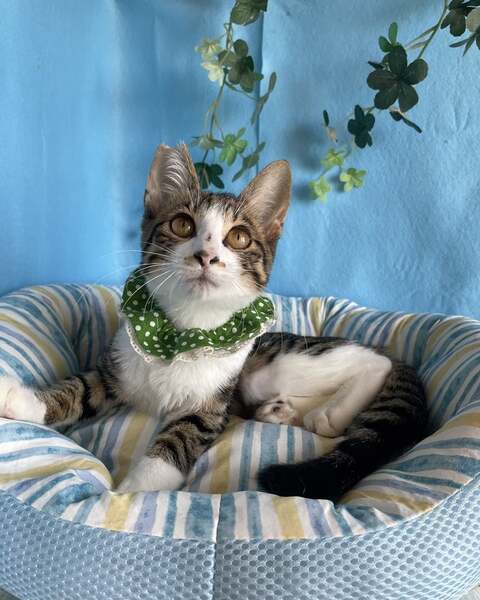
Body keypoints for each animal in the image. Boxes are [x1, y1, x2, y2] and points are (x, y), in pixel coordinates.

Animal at [0, 143, 427, 500]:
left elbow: (177, 441)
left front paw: (131, 494)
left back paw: (330, 411)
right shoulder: (115, 367)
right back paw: (282, 411)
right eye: (182, 225)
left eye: (239, 238)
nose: (206, 256)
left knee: (373, 363)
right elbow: (81, 387)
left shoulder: (210, 405)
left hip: (272, 365)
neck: (181, 331)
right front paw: (26, 401)